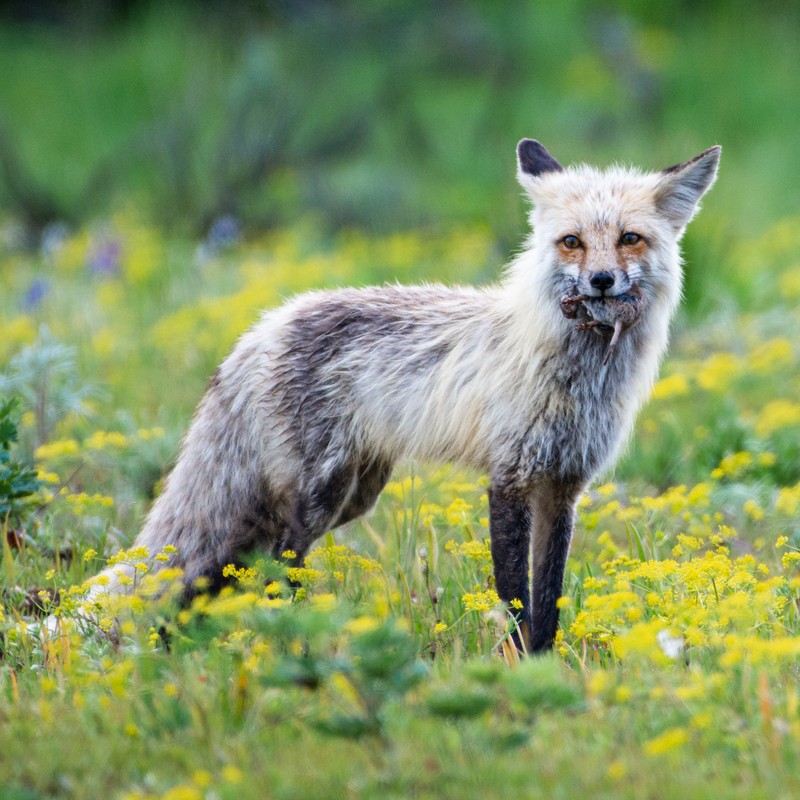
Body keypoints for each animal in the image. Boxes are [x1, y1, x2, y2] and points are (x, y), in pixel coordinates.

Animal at [86, 141, 720, 652]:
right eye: (572, 242)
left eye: (629, 238)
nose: (601, 282)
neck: (576, 375)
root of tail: (262, 326)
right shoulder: (510, 477)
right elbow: (516, 600)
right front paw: (518, 669)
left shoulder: (563, 487)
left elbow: (549, 603)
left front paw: (549, 669)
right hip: (316, 500)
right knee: (272, 572)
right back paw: (281, 643)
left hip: (351, 494)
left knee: (218, 573)